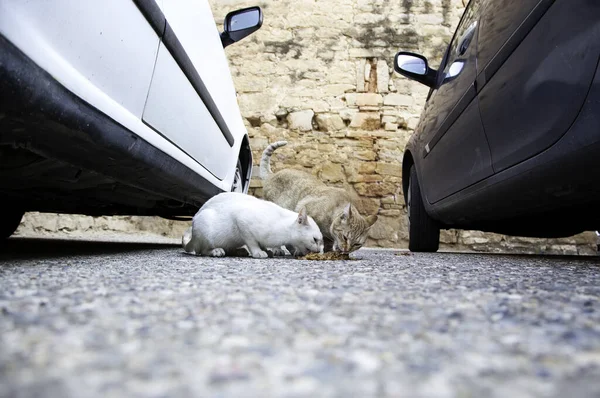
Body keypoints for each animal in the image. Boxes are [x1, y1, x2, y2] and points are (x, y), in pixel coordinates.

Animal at [182, 192, 324, 258]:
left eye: (321, 241)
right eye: (315, 239)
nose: (320, 251)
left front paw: (268, 250)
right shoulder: (242, 221)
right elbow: (252, 242)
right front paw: (258, 252)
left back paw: (239, 251)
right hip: (205, 227)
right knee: (202, 251)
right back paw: (216, 251)